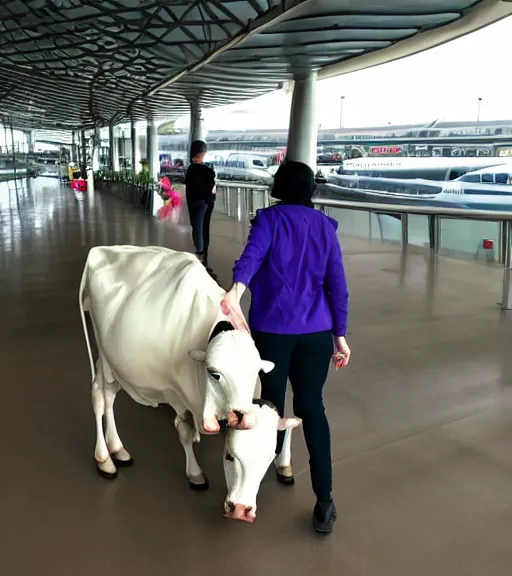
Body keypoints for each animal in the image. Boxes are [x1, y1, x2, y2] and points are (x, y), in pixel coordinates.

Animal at [79, 245, 300, 524]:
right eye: (229, 457)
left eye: (268, 458)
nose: (241, 510)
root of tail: (101, 250)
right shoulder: (178, 394)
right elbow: (184, 431)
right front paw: (195, 475)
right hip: (104, 355)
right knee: (100, 396)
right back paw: (104, 459)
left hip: (114, 361)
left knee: (110, 396)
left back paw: (118, 449)